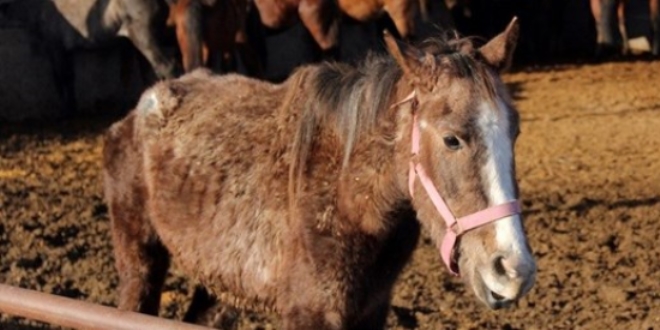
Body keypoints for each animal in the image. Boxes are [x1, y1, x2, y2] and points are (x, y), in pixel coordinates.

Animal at [104, 18, 536, 330]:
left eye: (516, 132)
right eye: (451, 139)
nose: (514, 272)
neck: (344, 199)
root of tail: (140, 108)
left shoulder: (370, 313)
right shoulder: (309, 315)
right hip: (139, 261)